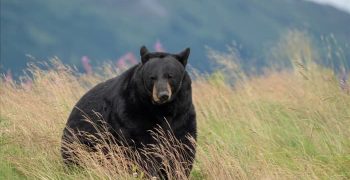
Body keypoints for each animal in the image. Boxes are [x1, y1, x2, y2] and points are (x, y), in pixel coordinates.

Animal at [60, 45, 197, 178]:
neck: (161, 110)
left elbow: (182, 147)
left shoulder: (182, 114)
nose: (162, 95)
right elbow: (140, 148)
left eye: (170, 76)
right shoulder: (132, 112)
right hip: (81, 138)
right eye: (152, 77)